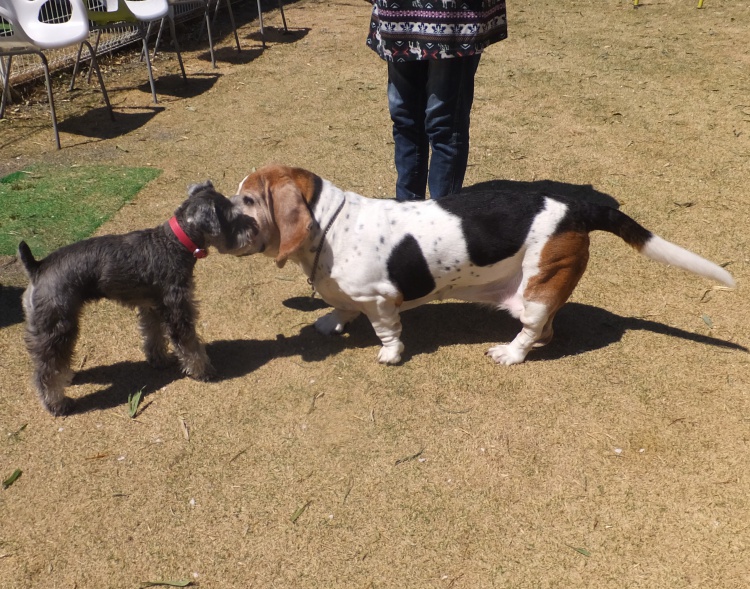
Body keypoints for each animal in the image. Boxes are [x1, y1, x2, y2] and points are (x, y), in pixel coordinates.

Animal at [18, 181, 259, 416]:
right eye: (232, 217)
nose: (255, 229)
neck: (175, 243)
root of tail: (37, 267)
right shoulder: (178, 308)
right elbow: (189, 343)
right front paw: (203, 371)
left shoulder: (152, 306)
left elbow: (153, 335)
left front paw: (159, 360)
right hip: (57, 326)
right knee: (46, 371)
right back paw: (57, 404)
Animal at [232, 164, 735, 365]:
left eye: (248, 199)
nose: (220, 211)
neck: (331, 223)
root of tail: (576, 205)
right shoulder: (348, 293)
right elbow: (340, 307)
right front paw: (330, 322)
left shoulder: (381, 301)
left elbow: (387, 331)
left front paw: (390, 354)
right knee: (547, 329)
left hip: (536, 291)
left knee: (533, 330)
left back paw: (510, 354)